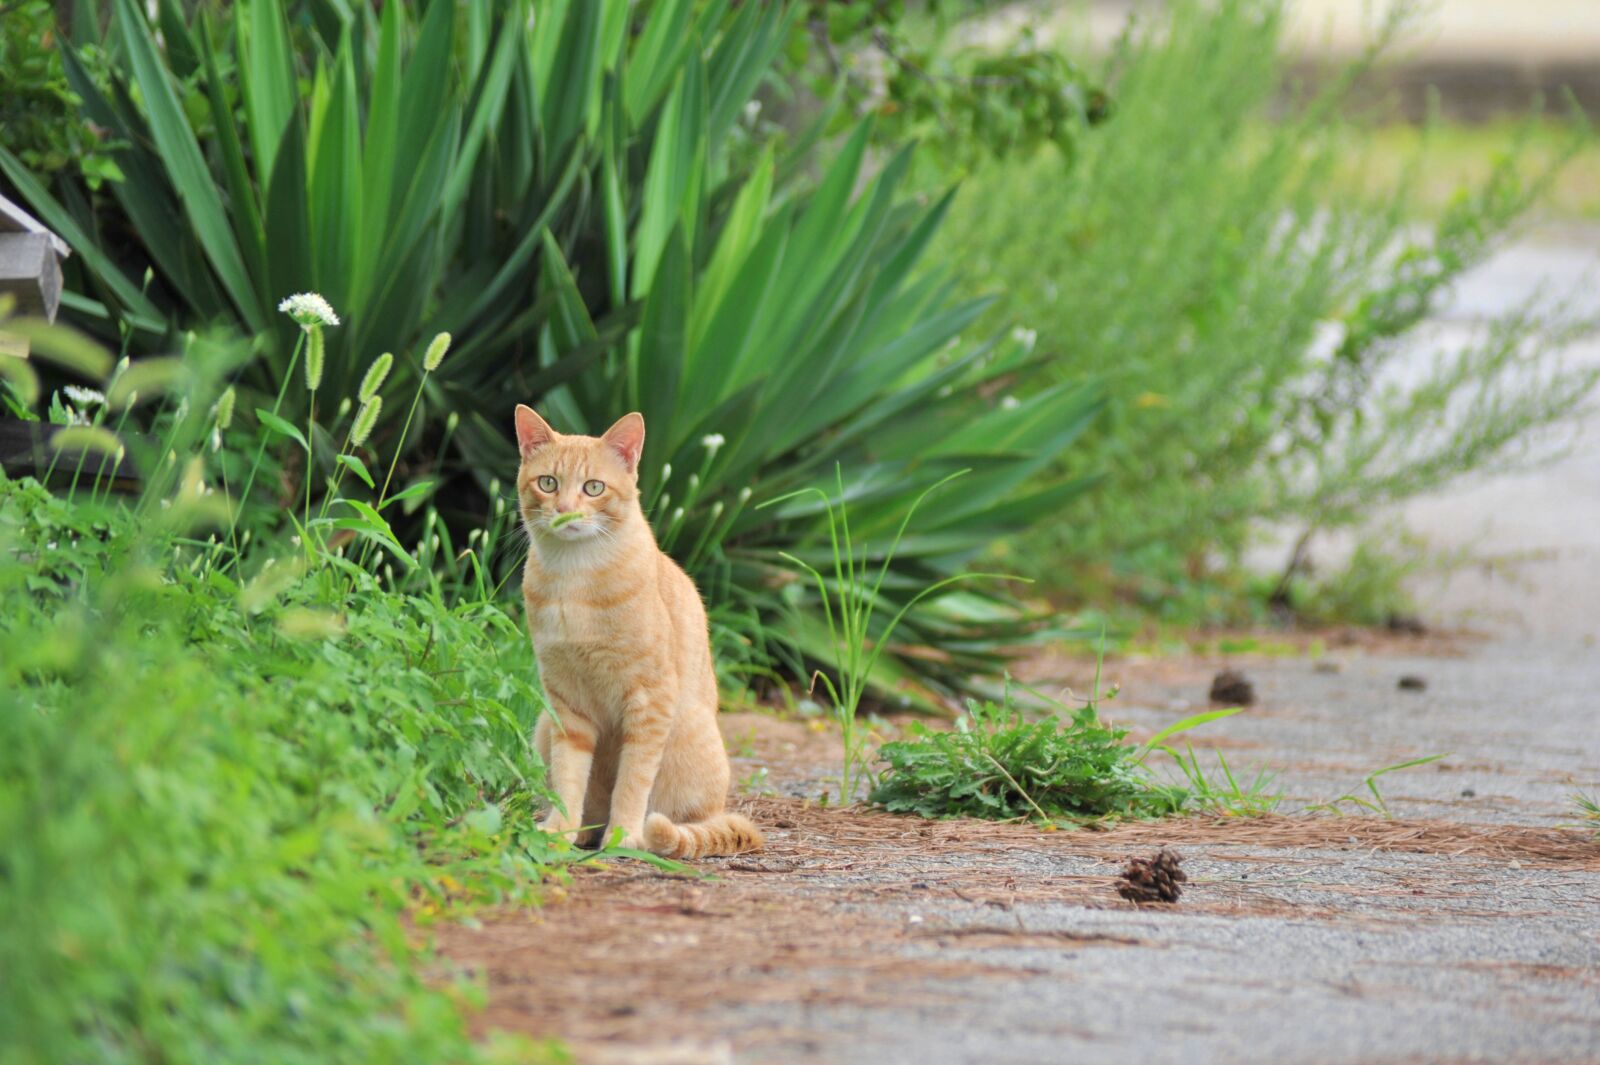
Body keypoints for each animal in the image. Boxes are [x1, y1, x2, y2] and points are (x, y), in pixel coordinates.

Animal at [512, 402, 761, 857]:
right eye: (548, 483)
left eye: (593, 487)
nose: (567, 511)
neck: (574, 579)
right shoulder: (567, 703)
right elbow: (569, 778)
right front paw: (560, 831)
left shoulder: (649, 700)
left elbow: (632, 781)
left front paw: (624, 837)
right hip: (543, 723)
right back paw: (585, 832)